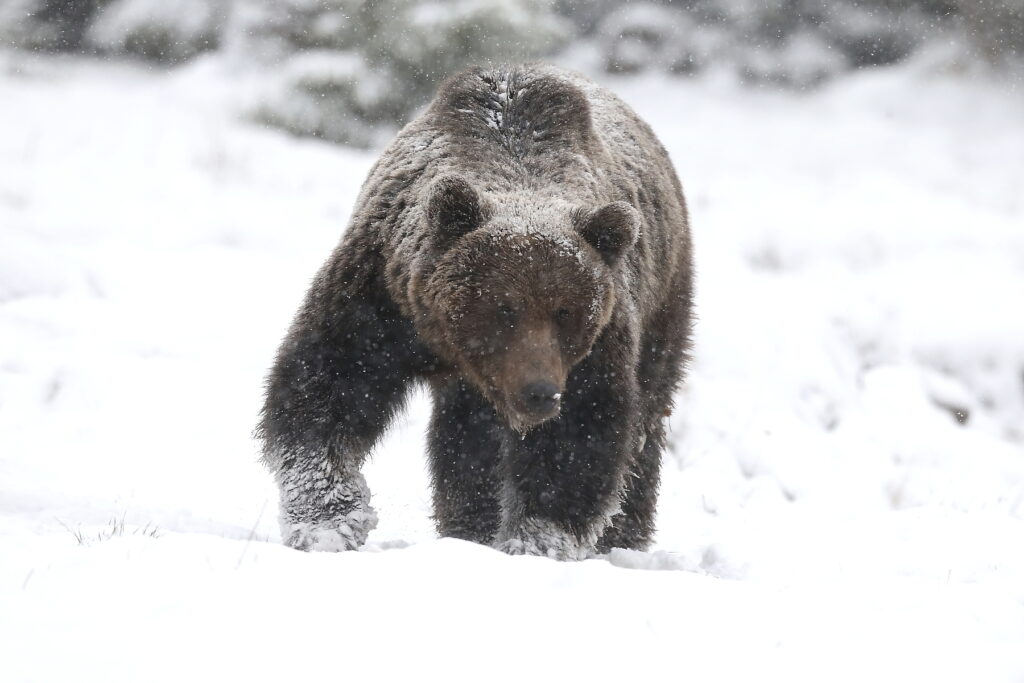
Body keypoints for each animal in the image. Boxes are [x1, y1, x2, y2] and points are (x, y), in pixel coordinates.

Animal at [256, 63, 693, 560]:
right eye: (504, 308)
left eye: (566, 311)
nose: (540, 393)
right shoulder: (381, 296)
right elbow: (328, 384)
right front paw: (329, 522)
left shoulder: (599, 344)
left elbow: (581, 437)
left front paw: (535, 541)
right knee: (467, 438)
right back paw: (468, 524)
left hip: (664, 300)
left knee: (647, 418)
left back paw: (622, 538)